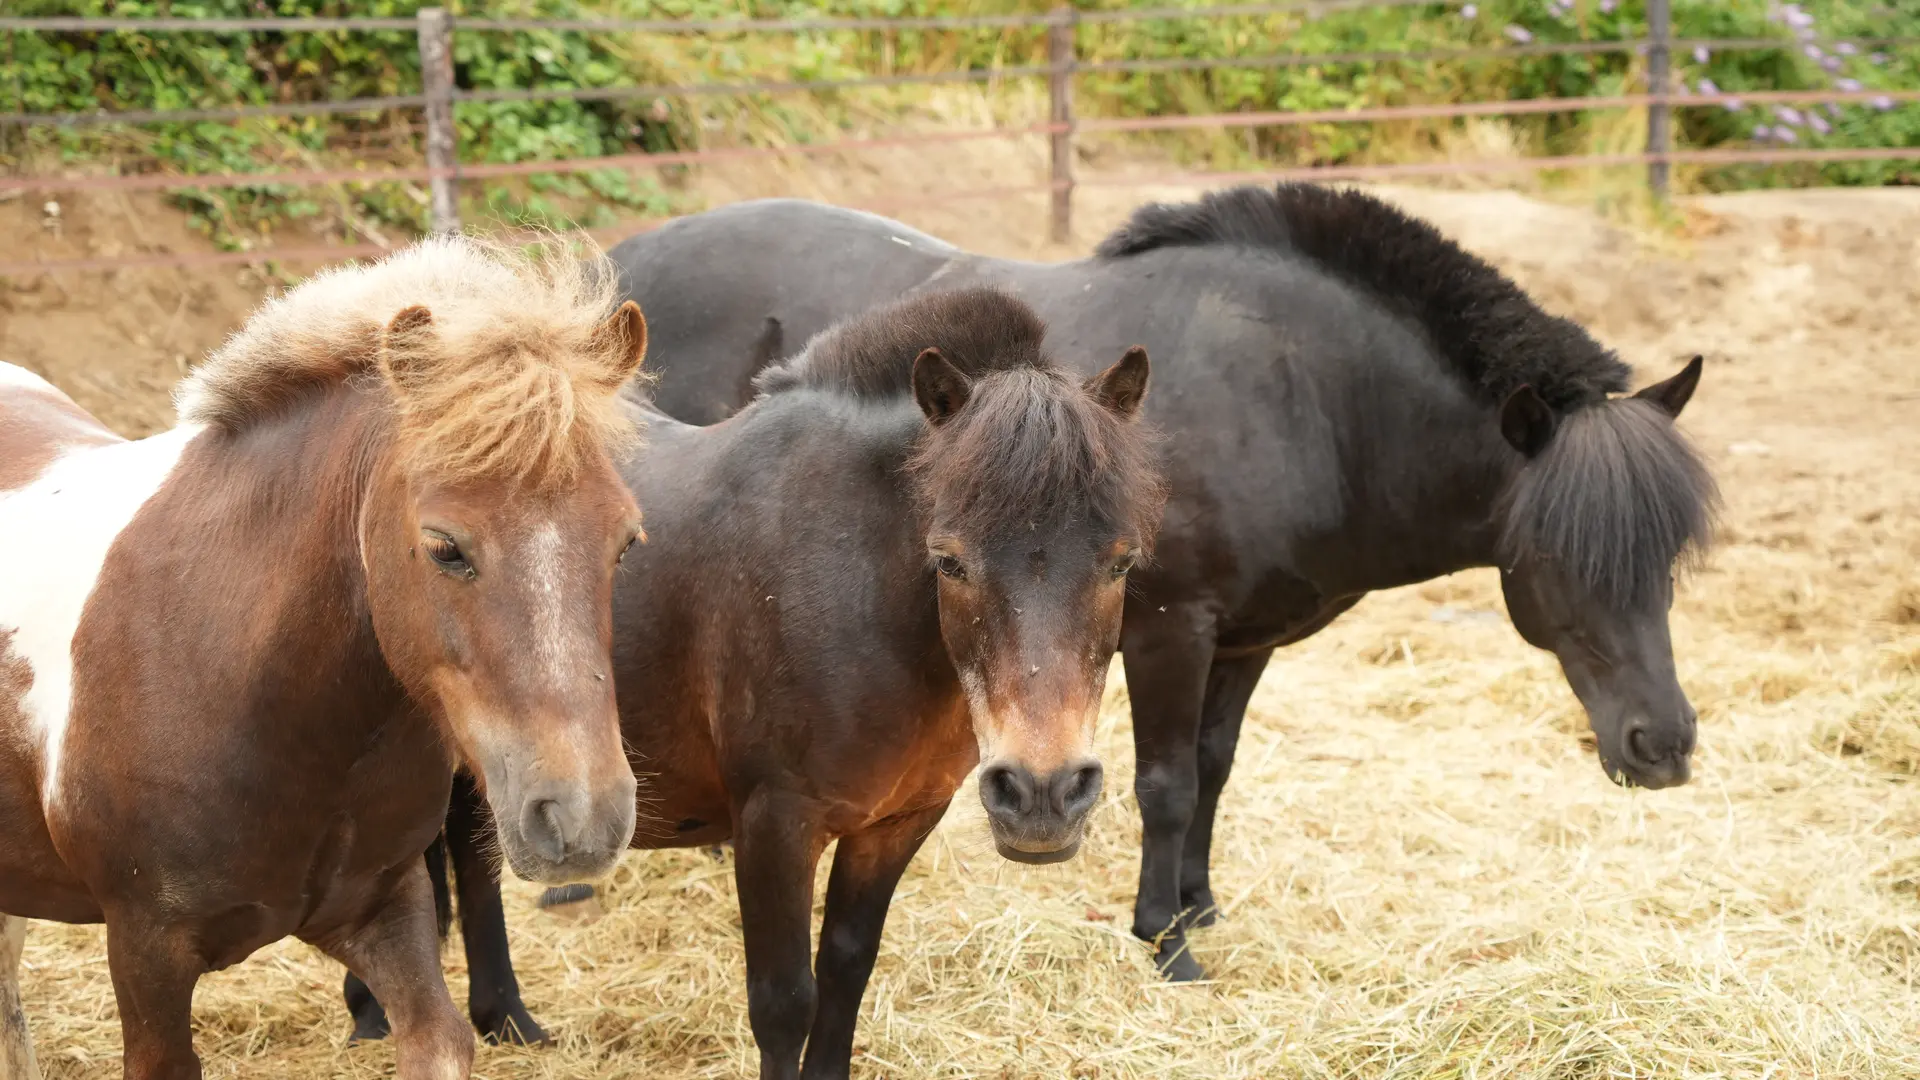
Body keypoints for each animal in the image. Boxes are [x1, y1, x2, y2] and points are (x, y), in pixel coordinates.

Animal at [0, 235, 645, 1076]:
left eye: (624, 543)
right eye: (445, 547)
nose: (582, 817)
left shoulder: (385, 910)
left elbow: (438, 1034)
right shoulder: (146, 951)